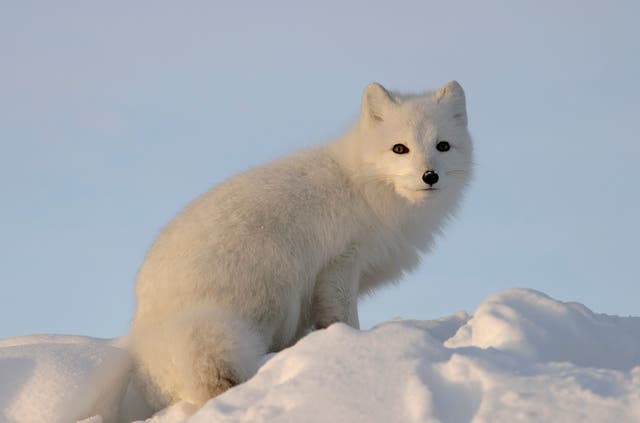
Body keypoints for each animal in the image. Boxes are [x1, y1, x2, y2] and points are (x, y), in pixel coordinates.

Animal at [130, 80, 472, 410]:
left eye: (443, 146)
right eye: (400, 148)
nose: (430, 176)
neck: (363, 188)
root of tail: (149, 327)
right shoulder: (340, 264)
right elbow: (344, 318)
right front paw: (354, 345)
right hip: (273, 290)